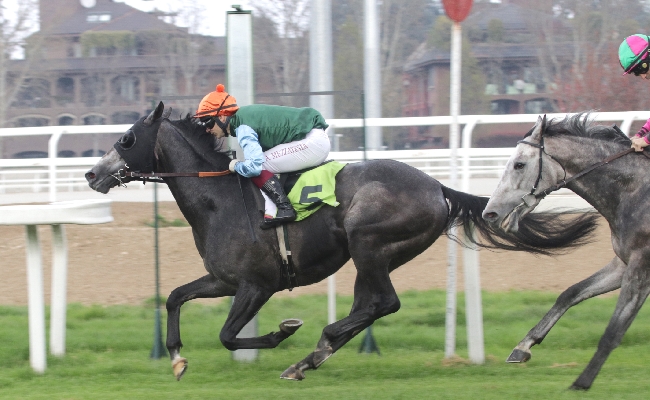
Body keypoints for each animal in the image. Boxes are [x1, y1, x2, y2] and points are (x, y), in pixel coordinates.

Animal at [86, 102, 596, 382]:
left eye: (126, 138)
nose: (91, 174)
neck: (220, 199)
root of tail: (437, 187)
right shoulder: (223, 279)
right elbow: (175, 296)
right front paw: (175, 357)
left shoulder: (257, 284)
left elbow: (229, 335)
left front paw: (283, 330)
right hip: (371, 256)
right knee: (368, 305)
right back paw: (313, 356)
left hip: (368, 242)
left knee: (384, 303)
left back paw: (316, 345)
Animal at [478, 113, 644, 390]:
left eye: (519, 164)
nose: (489, 213)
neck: (636, 192)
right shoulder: (623, 264)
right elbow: (571, 293)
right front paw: (523, 347)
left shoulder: (641, 266)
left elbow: (614, 330)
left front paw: (582, 382)